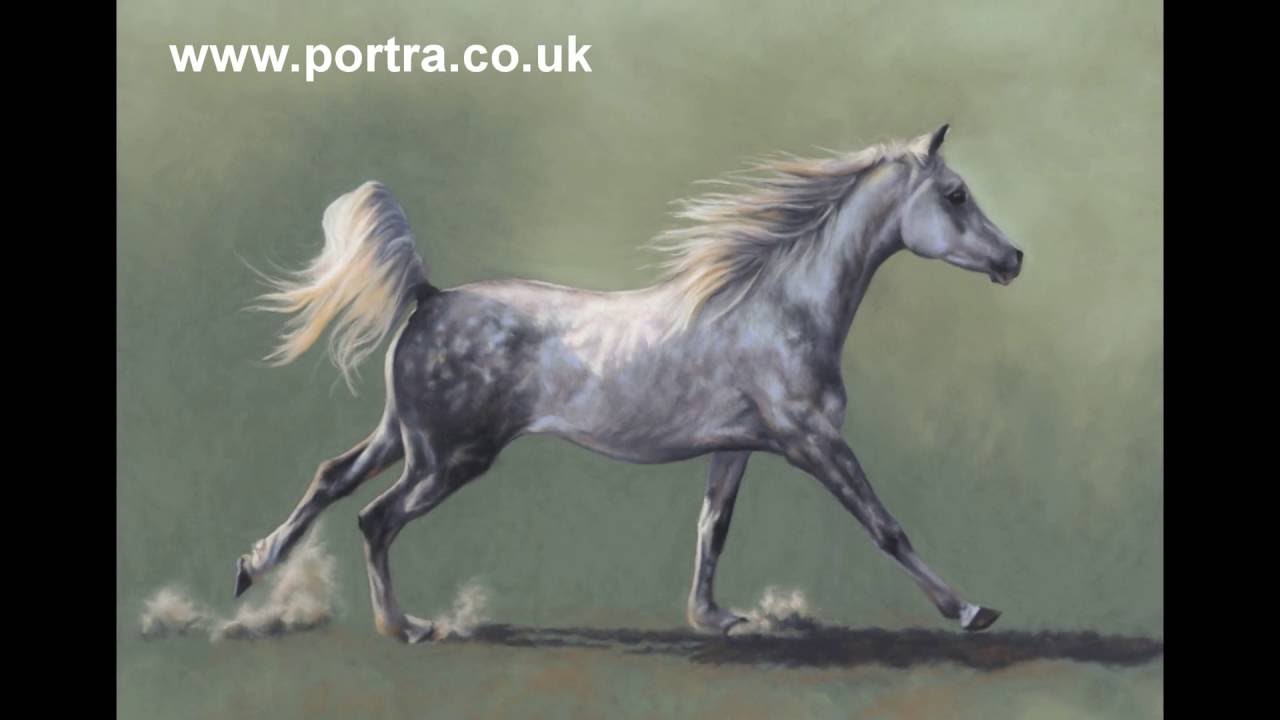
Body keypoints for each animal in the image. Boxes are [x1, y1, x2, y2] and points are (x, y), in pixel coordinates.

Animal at [234, 125, 1023, 643]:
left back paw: (252, 567)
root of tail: (430, 295)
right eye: (955, 194)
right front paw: (971, 611)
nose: (1014, 258)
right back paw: (405, 627)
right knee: (375, 519)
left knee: (332, 477)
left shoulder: (738, 447)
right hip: (449, 458)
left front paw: (714, 618)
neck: (780, 308)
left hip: (407, 438)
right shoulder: (813, 441)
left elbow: (713, 528)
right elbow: (885, 526)